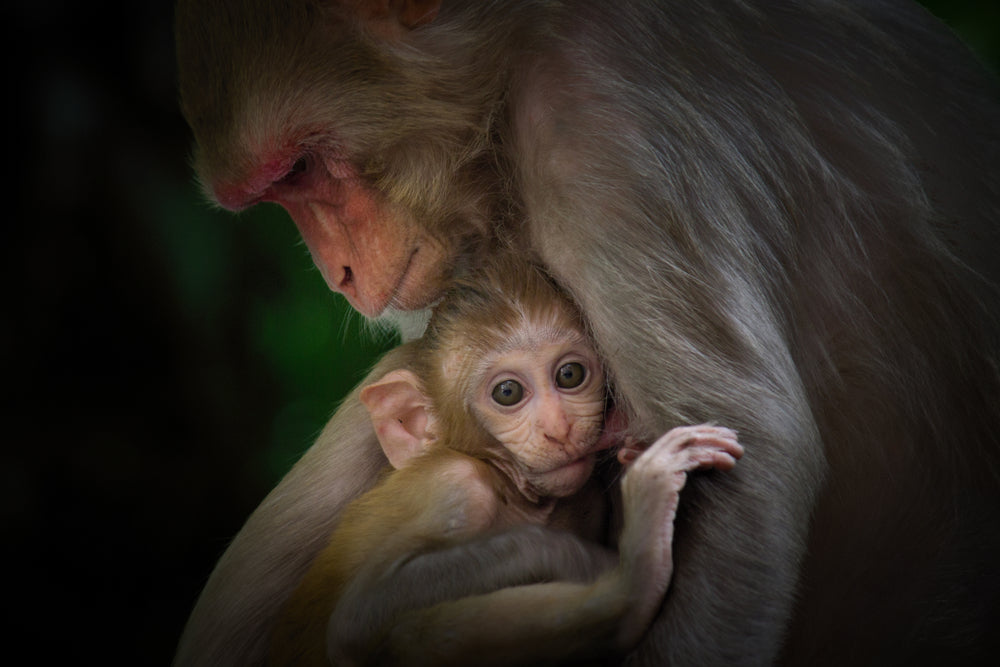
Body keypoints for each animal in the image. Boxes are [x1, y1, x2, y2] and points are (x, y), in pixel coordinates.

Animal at [268, 255, 742, 665]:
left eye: (570, 375)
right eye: (508, 393)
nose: (559, 429)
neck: (509, 489)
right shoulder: (453, 486)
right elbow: (360, 619)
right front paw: (591, 562)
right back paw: (633, 586)